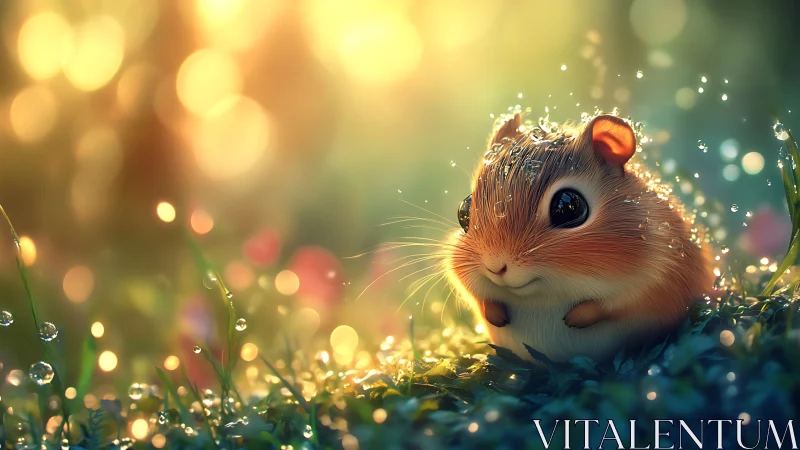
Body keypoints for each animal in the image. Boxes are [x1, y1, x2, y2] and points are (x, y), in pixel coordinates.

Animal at [444, 109, 716, 364]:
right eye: (464, 210)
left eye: (567, 207)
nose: (495, 267)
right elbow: (471, 289)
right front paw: (493, 312)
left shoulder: (663, 269)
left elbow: (626, 301)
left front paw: (579, 316)